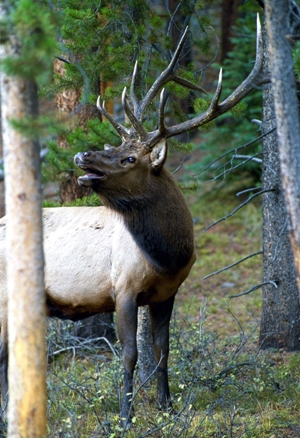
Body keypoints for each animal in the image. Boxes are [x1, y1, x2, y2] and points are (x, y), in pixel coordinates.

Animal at [0, 19, 264, 428]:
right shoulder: (122, 288)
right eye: (113, 147)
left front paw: (167, 407)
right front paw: (126, 416)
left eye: (128, 157)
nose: (82, 154)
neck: (168, 255)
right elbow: (129, 354)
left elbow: (162, 350)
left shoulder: (167, 293)